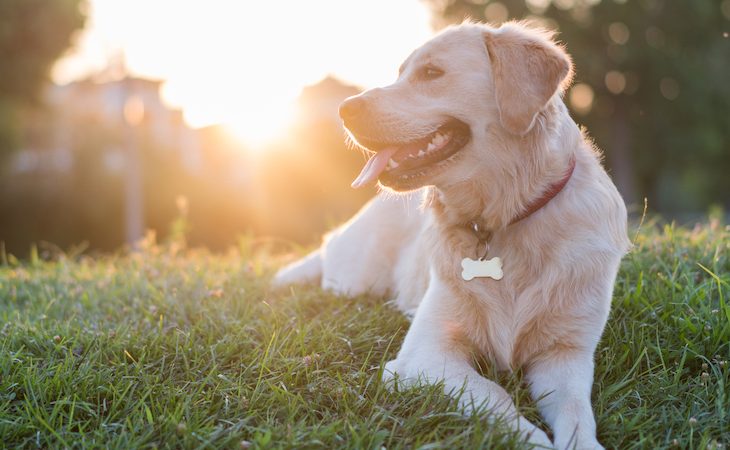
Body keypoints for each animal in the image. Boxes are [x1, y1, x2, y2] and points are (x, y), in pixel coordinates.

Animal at [272, 22, 624, 450]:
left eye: (431, 73)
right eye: (400, 73)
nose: (344, 109)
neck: (501, 221)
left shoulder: (566, 352)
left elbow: (576, 410)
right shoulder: (425, 353)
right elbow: (494, 392)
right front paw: (532, 439)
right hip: (353, 279)